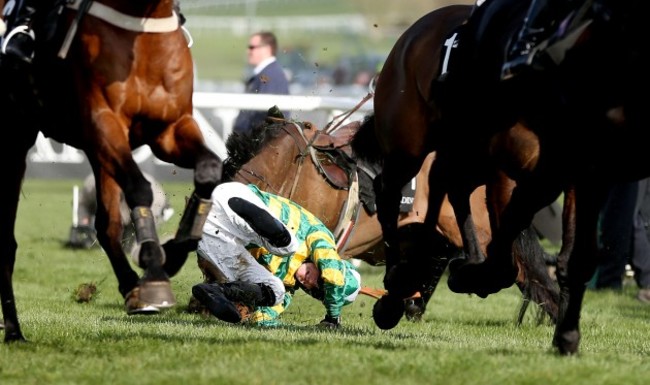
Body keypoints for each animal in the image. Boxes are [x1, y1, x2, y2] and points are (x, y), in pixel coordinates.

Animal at [0, 0, 220, 342]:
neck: (142, 33)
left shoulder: (168, 130)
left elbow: (210, 170)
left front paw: (172, 254)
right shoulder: (104, 124)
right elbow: (140, 189)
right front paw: (154, 271)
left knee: (106, 225)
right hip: (14, 140)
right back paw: (13, 331)